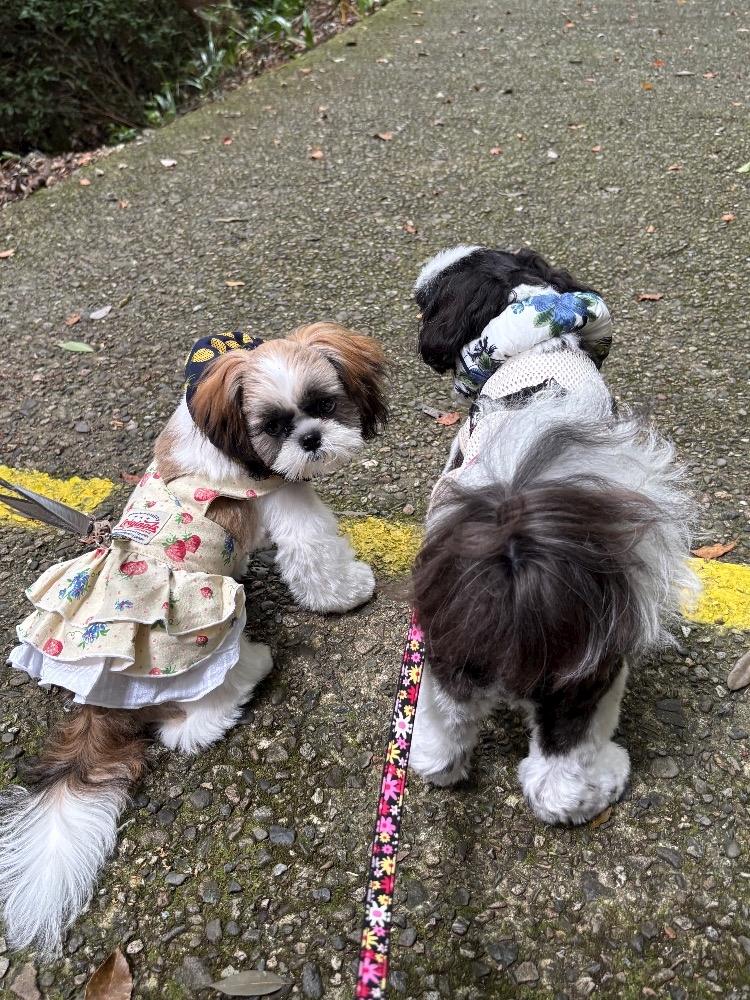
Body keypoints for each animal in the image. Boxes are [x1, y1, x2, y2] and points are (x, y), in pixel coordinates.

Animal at [0, 322, 388, 956]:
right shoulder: (285, 498)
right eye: (273, 427)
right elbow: (316, 555)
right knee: (197, 723)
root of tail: (98, 702)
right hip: (209, 645)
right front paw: (349, 591)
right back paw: (253, 666)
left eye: (324, 405)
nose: (310, 439)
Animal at [408, 245, 698, 825]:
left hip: (447, 660)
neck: (535, 343)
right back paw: (600, 784)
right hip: (589, 681)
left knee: (444, 730)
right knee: (560, 771)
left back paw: (439, 766)